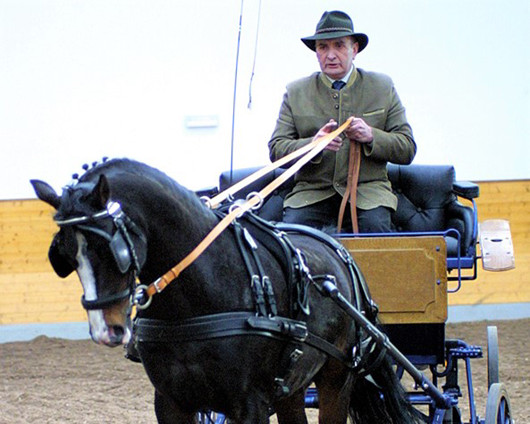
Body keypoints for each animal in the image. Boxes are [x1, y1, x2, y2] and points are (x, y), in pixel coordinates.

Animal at [31, 159, 418, 424]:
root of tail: (337, 247)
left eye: (109, 248)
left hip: (336, 381)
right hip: (291, 387)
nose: (105, 330)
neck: (194, 302)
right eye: (65, 255)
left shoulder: (249, 404)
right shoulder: (170, 402)